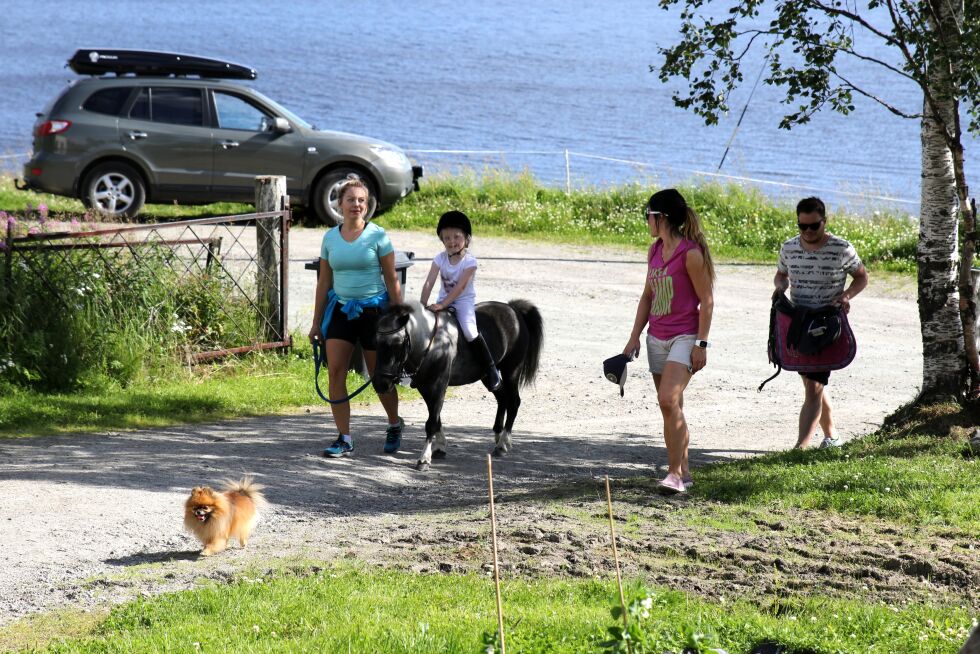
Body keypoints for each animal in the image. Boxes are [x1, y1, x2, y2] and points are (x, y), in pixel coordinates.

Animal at [374, 298, 544, 472]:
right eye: (376, 342)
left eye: (398, 343)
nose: (380, 384)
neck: (432, 343)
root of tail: (512, 309)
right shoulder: (424, 387)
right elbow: (436, 418)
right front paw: (440, 447)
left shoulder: (438, 386)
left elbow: (431, 423)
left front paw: (424, 459)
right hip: (487, 376)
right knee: (502, 398)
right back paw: (498, 436)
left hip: (511, 371)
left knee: (514, 402)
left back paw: (503, 444)